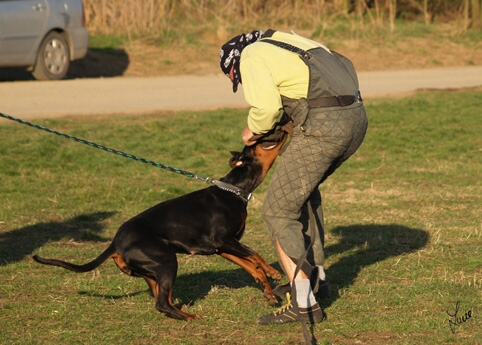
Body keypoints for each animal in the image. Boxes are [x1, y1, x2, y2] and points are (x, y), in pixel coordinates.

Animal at [34, 129, 290, 320]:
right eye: (256, 144)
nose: (278, 129)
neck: (234, 190)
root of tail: (115, 243)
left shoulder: (224, 247)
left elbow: (252, 267)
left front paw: (268, 292)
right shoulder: (223, 240)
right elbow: (255, 255)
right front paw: (273, 272)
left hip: (154, 271)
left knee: (163, 300)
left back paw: (182, 312)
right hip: (166, 260)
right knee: (162, 304)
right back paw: (190, 317)